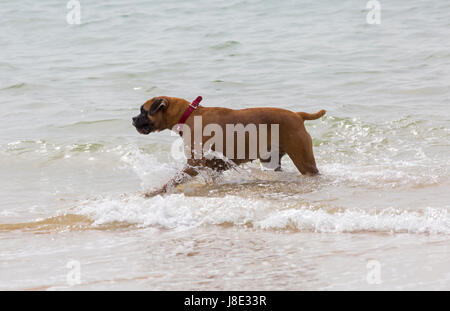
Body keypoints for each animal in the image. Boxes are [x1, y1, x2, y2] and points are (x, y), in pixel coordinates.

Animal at [132, 96, 326, 196]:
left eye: (143, 111)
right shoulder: (212, 167)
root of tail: (298, 115)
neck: (188, 115)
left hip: (304, 161)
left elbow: (172, 180)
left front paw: (156, 191)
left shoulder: (193, 165)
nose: (133, 119)